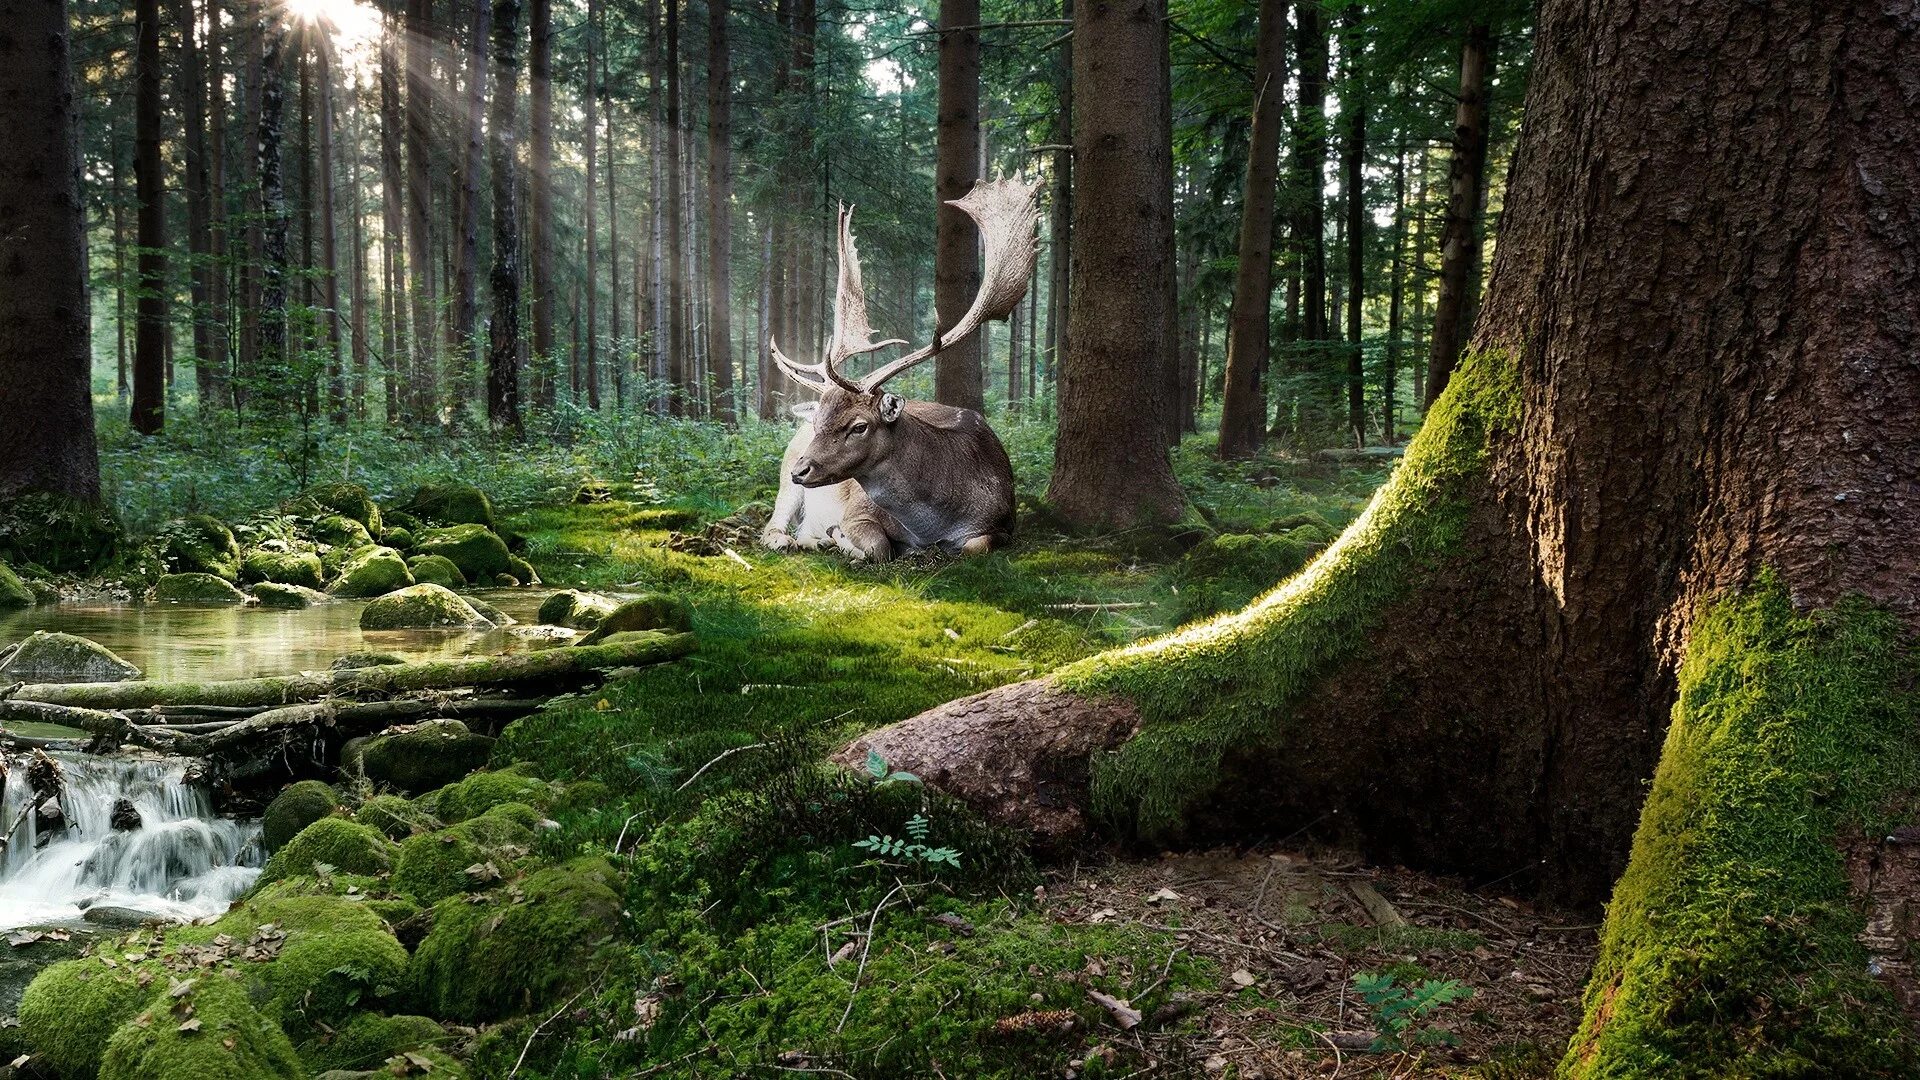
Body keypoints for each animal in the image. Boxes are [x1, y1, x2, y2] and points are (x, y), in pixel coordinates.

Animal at [768, 176, 1044, 564]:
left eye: (859, 426)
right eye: (819, 421)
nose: (802, 470)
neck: (934, 524)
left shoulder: (1005, 521)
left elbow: (975, 546)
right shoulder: (857, 510)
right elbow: (878, 546)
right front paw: (844, 538)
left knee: (803, 529)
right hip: (785, 474)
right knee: (773, 524)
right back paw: (791, 539)